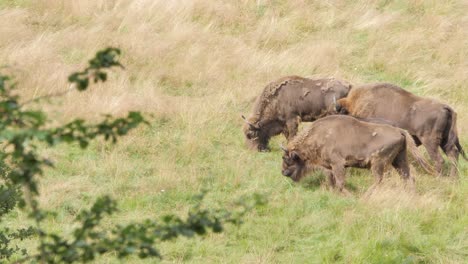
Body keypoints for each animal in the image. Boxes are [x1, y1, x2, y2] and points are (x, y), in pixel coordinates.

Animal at [280, 115, 434, 194]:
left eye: (287, 159)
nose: (283, 172)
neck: (319, 136)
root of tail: (400, 131)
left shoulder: (338, 164)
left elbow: (340, 183)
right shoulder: (330, 167)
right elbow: (332, 181)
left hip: (378, 163)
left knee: (379, 180)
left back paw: (365, 196)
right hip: (399, 160)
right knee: (408, 177)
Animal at [336, 83, 464, 176]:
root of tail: (444, 107)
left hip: (430, 141)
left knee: (439, 160)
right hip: (445, 140)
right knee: (453, 154)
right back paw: (453, 179)